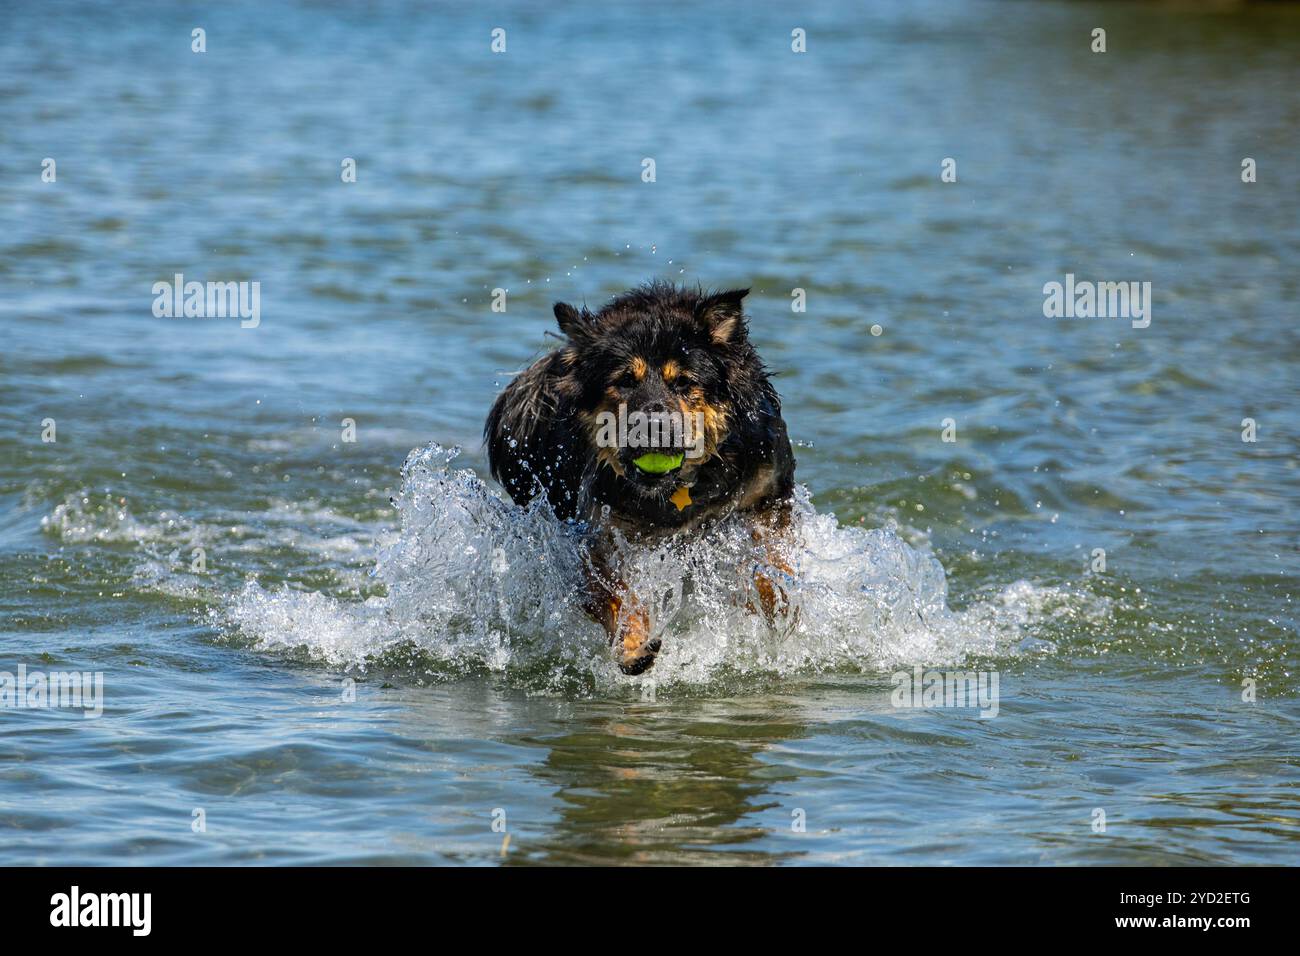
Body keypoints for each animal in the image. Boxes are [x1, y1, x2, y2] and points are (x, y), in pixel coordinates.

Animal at [486, 280, 790, 676]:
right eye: (625, 381)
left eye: (684, 382)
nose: (654, 426)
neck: (682, 488)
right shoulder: (597, 530)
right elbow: (613, 591)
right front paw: (633, 647)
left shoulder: (767, 492)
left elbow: (771, 562)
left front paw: (776, 605)